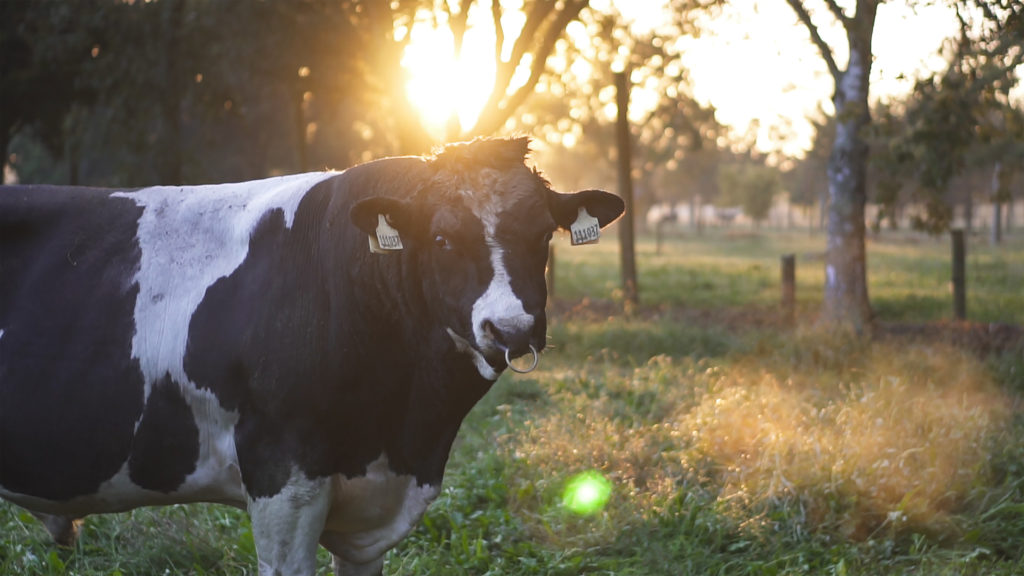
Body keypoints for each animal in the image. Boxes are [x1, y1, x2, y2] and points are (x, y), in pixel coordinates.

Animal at [0, 139, 622, 573]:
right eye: (443, 239)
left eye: (542, 234)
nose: (513, 328)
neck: (405, 428)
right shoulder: (283, 476)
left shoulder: (373, 508)